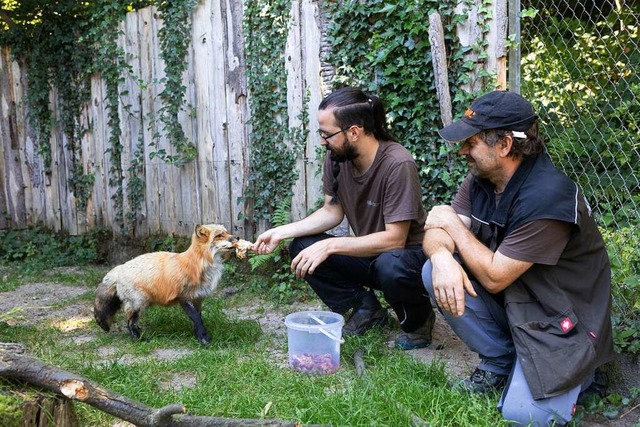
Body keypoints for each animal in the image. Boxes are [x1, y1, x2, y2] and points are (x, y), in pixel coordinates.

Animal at [94, 226, 236, 346]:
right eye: (219, 235)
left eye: (227, 232)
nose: (237, 237)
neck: (199, 265)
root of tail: (120, 268)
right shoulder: (184, 298)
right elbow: (197, 319)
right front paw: (204, 340)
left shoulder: (198, 298)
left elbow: (198, 319)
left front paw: (198, 335)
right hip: (139, 303)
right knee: (129, 322)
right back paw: (140, 339)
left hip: (143, 303)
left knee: (131, 321)